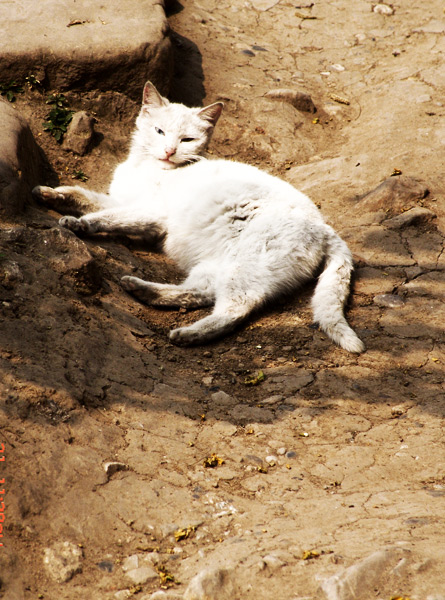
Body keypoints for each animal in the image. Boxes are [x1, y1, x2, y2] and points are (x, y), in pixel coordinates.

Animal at [33, 79, 362, 352]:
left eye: (187, 140)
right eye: (160, 132)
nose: (169, 151)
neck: (145, 168)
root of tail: (325, 230)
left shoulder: (150, 213)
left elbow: (108, 218)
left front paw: (77, 224)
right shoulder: (119, 199)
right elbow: (83, 197)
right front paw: (49, 193)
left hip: (245, 268)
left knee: (234, 308)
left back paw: (187, 334)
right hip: (216, 265)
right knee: (200, 293)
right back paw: (141, 289)